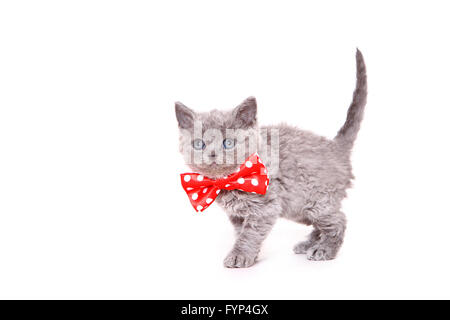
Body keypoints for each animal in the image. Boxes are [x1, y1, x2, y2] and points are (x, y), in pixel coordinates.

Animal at [174, 49, 368, 268]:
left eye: (228, 143)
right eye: (199, 144)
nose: (213, 154)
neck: (228, 179)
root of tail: (335, 147)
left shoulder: (265, 207)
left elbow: (249, 235)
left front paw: (240, 255)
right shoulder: (237, 214)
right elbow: (242, 233)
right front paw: (251, 255)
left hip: (316, 201)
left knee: (338, 221)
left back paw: (324, 249)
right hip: (298, 207)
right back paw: (309, 243)